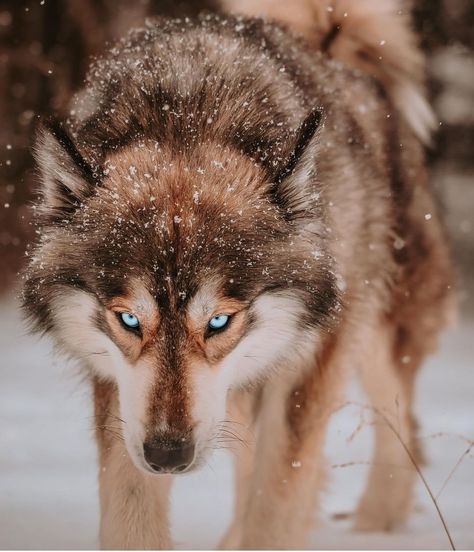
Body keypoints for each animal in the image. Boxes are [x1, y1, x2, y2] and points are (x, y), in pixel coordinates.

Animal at [20, 0, 454, 548]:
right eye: (130, 320)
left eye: (219, 322)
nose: (167, 456)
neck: (188, 117)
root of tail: (329, 43)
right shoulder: (118, 387)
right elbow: (130, 512)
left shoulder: (308, 365)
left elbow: (276, 502)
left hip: (372, 325)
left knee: (399, 418)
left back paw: (379, 519)